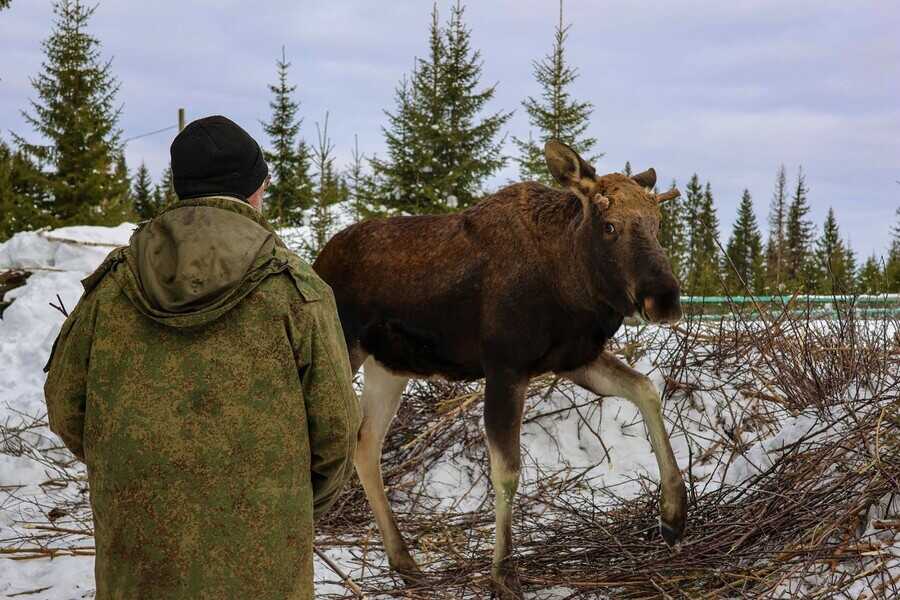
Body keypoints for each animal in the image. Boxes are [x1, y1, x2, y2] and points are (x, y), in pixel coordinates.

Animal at [312, 141, 684, 596]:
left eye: (657, 223)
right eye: (610, 225)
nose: (664, 299)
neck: (572, 280)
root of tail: (318, 260)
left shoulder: (574, 359)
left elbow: (646, 389)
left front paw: (674, 513)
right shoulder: (506, 366)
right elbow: (507, 471)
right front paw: (503, 574)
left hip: (389, 367)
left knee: (365, 443)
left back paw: (404, 562)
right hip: (345, 350)